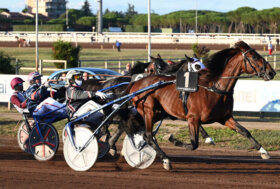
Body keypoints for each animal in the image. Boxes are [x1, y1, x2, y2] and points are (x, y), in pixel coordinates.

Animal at [129, 41, 276, 170]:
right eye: (254, 56)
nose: (272, 72)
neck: (215, 88)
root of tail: (136, 83)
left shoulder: (225, 117)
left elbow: (245, 131)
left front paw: (264, 151)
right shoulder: (192, 118)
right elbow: (194, 144)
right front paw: (172, 139)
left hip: (158, 113)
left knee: (147, 135)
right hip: (149, 111)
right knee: (148, 136)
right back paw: (165, 160)